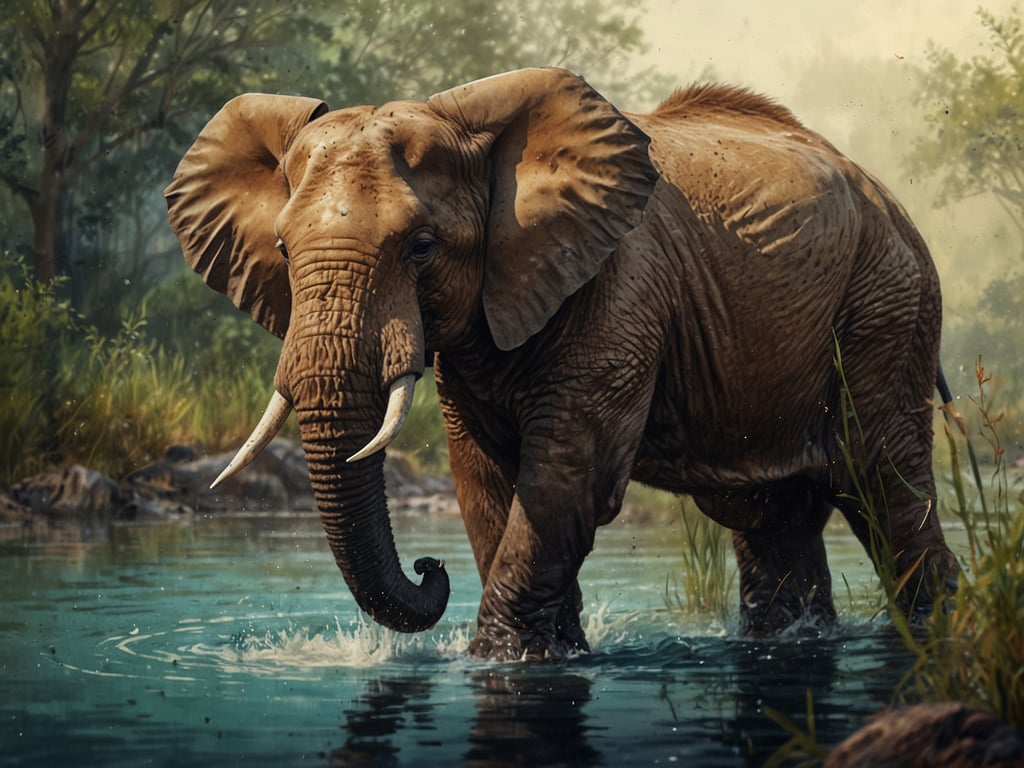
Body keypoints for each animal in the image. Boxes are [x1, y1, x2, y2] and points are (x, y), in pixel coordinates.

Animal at [165, 67, 958, 661]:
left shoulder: (622, 286)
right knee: (772, 516)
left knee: (883, 485)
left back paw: (933, 634)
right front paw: (554, 654)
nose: (429, 566)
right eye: (283, 250)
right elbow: (485, 484)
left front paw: (498, 663)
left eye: (421, 248)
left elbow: (564, 478)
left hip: (886, 308)